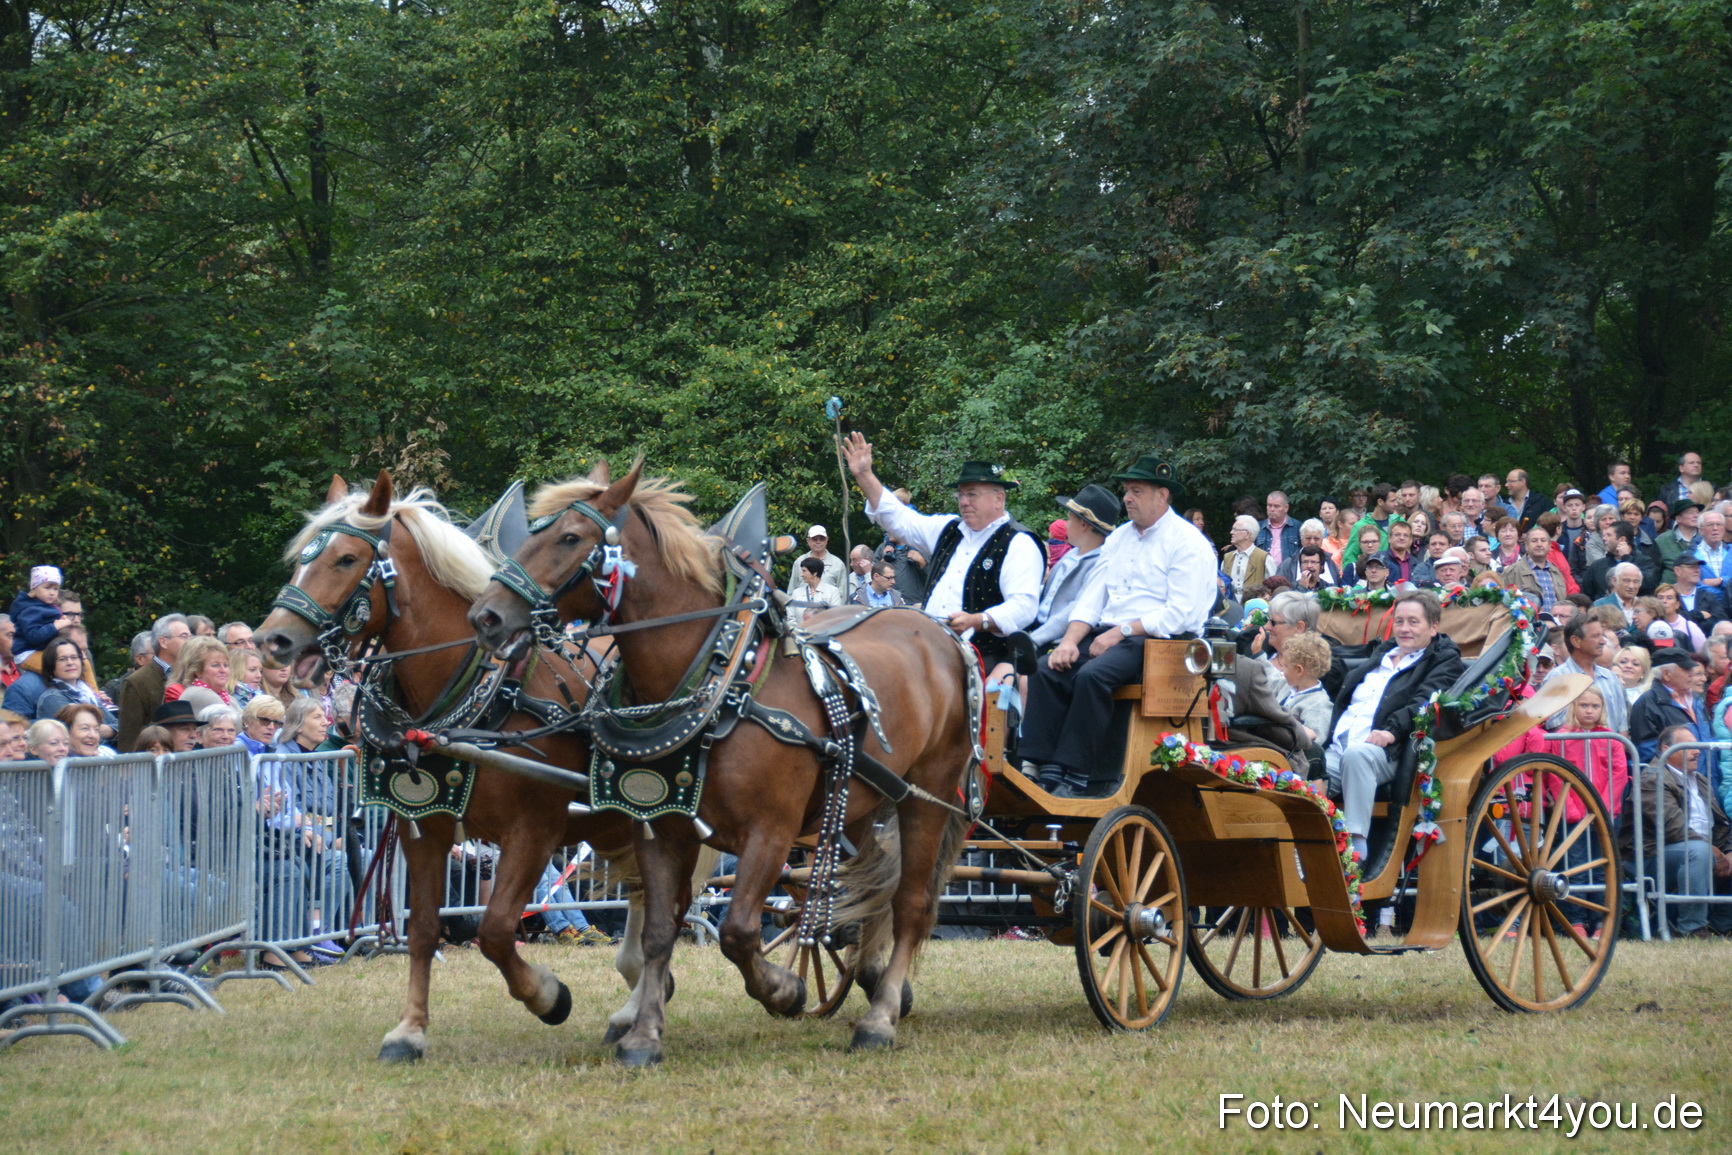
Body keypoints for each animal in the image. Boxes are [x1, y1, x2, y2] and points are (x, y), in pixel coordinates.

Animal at [257, 470, 668, 1061]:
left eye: (346, 558)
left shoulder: (535, 830)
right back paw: (636, 1006)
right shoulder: (424, 827)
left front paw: (548, 996)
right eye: (301, 557)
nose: (273, 638)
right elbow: (425, 928)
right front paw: (409, 1030)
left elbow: (495, 930)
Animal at [468, 461, 978, 1064]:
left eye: (570, 538)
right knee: (872, 885)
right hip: (861, 801)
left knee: (911, 903)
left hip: (929, 796)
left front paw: (784, 990)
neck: (721, 686)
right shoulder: (663, 825)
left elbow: (737, 932)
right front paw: (643, 1035)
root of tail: (941, 633)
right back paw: (877, 984)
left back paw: (879, 1019)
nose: (486, 616)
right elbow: (660, 931)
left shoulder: (771, 832)